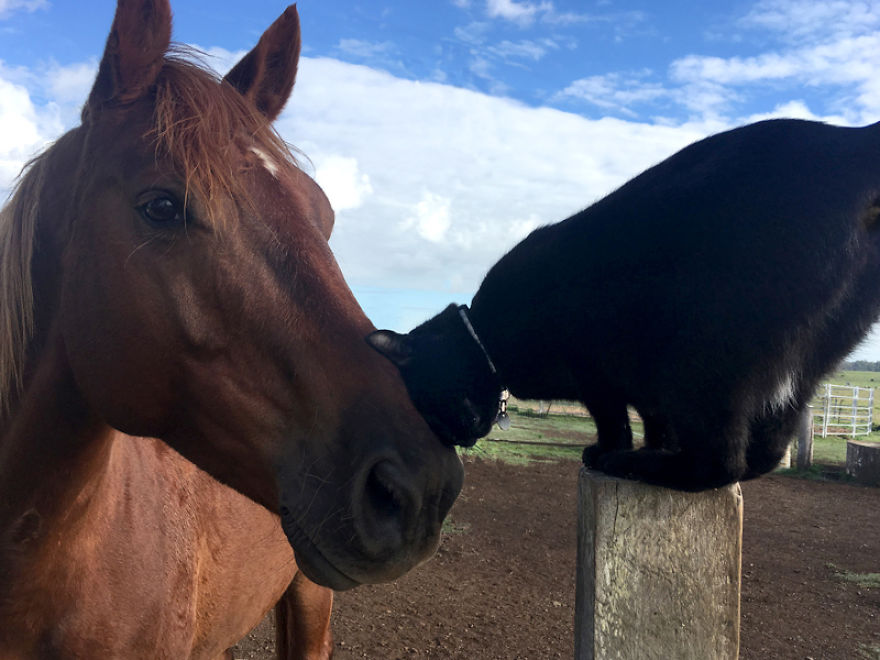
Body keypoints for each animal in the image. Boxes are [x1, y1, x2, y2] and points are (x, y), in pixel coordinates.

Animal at [369, 117, 880, 492]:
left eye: (440, 403)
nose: (465, 436)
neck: (488, 337)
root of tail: (851, 141)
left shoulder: (595, 371)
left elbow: (612, 418)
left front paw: (610, 449)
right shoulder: (644, 387)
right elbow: (656, 422)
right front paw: (652, 446)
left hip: (705, 354)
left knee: (719, 463)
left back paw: (634, 465)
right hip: (807, 361)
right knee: (764, 453)